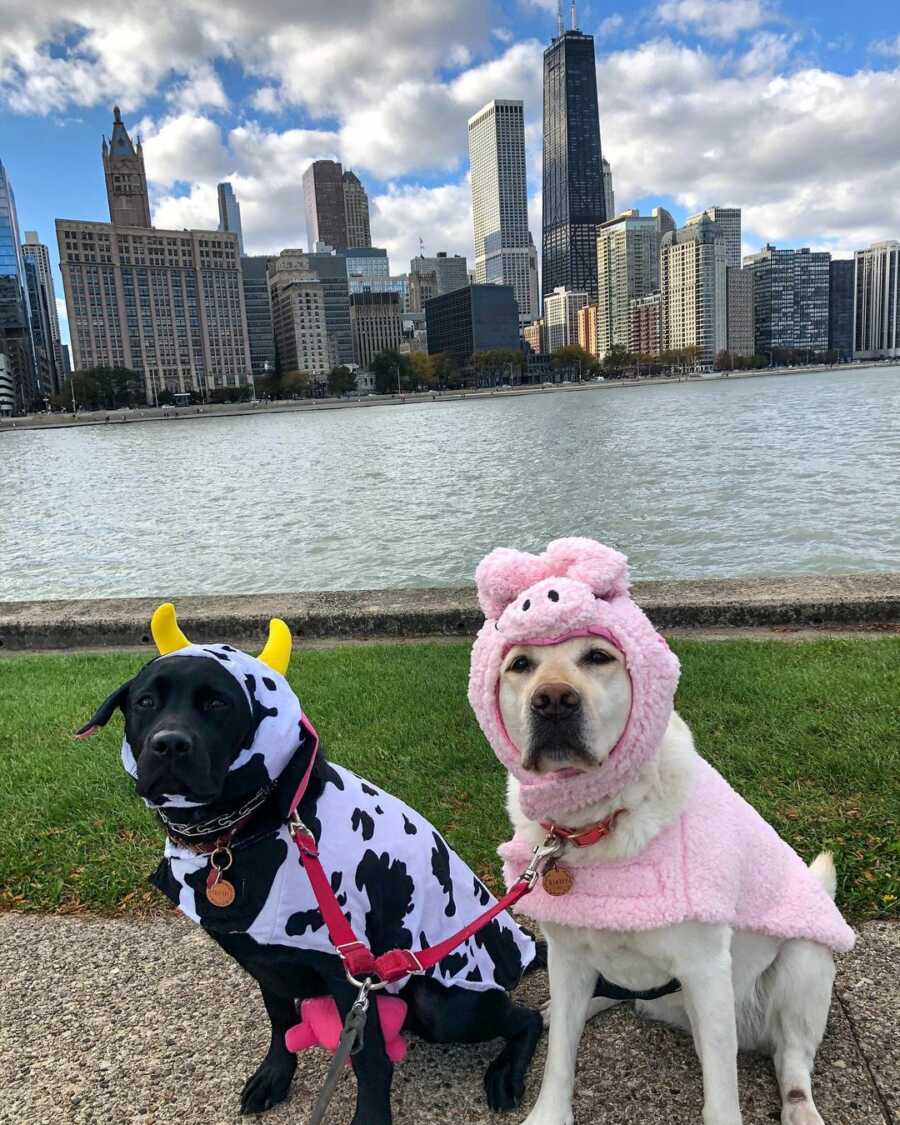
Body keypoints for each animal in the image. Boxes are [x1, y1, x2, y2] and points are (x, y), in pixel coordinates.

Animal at [82, 657, 542, 1120]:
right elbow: (281, 1020)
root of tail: (523, 948)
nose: (170, 745)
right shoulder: (263, 961)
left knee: (531, 1018)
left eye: (217, 702)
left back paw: (506, 1074)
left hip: (442, 1006)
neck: (240, 832)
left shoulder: (348, 973)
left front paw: (370, 1118)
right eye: (145, 701)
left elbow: (369, 1059)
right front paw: (275, 1075)